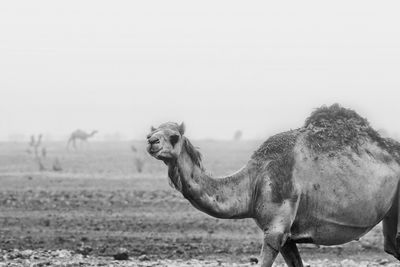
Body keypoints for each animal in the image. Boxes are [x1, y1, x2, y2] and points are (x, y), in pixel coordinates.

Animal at [147, 104, 400, 267]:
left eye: (174, 136)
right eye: (152, 132)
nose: (151, 142)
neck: (254, 181)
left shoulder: (276, 229)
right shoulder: (286, 238)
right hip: (391, 210)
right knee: (391, 245)